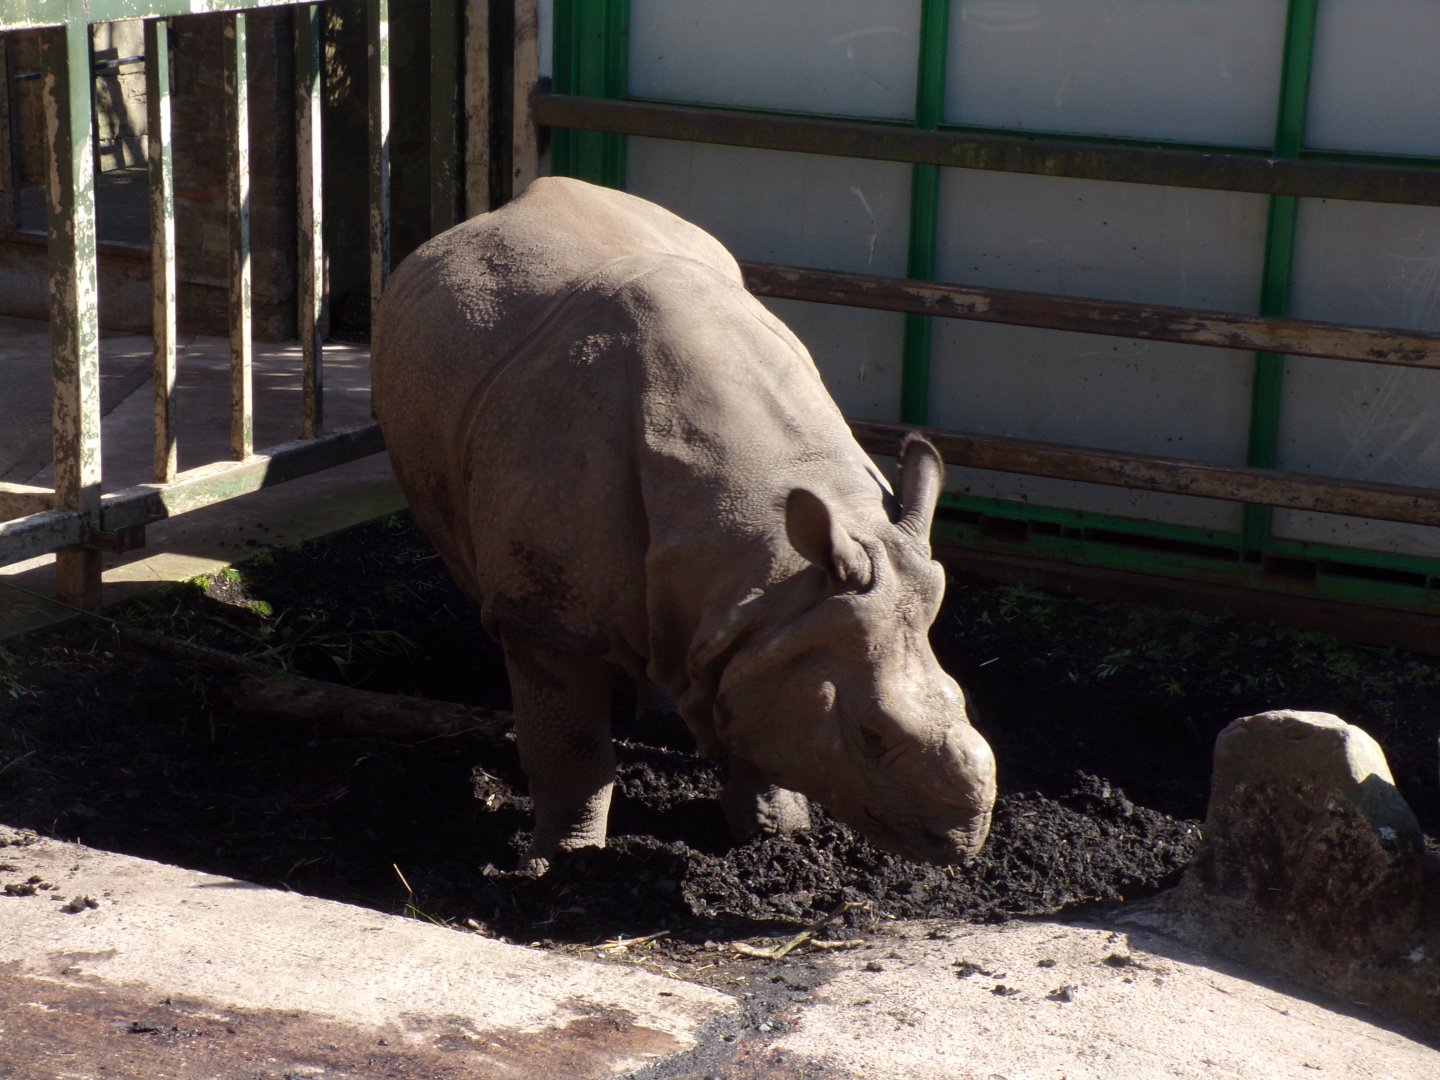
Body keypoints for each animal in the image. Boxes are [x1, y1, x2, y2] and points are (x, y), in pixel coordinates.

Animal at [371, 176, 996, 868]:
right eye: (871, 735)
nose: (964, 838)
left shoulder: (780, 616)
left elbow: (759, 698)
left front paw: (774, 834)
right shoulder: (548, 622)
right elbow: (572, 752)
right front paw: (566, 862)